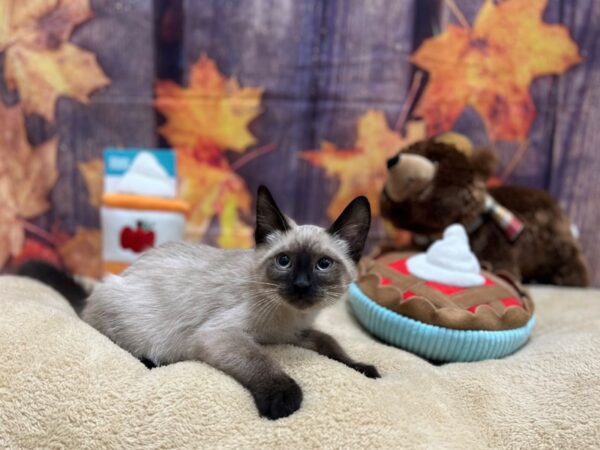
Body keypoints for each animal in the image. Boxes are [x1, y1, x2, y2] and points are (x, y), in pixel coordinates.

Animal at [23, 185, 382, 418]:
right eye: (284, 261)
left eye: (323, 264)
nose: (302, 286)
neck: (287, 318)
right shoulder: (221, 334)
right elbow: (260, 360)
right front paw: (283, 399)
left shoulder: (297, 332)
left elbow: (329, 342)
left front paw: (362, 368)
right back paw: (153, 361)